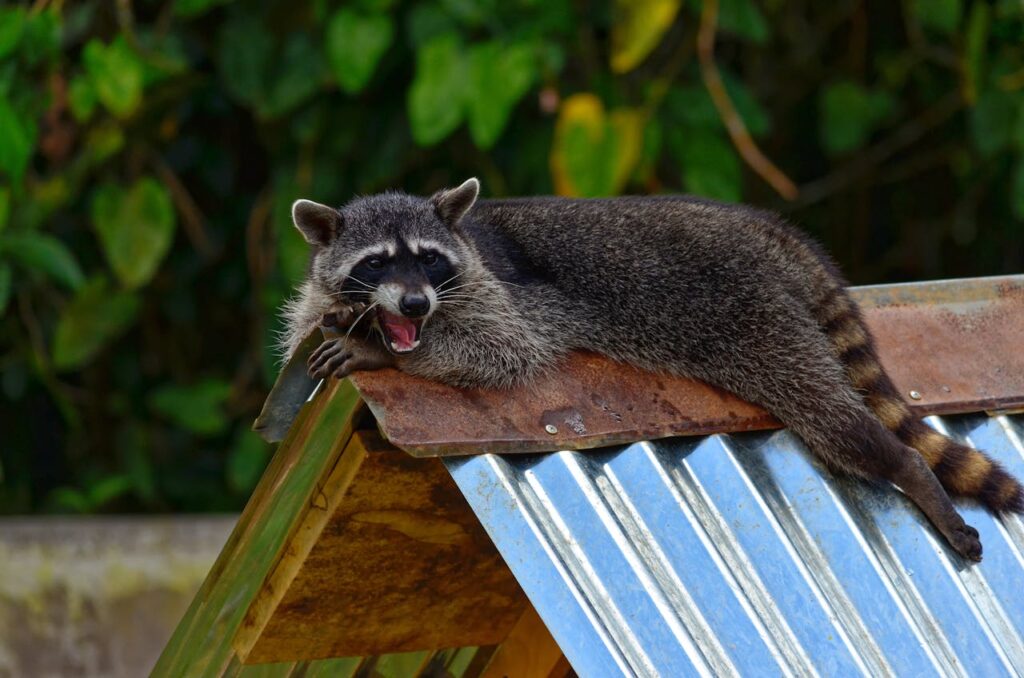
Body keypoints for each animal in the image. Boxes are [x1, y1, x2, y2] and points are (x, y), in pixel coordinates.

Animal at [282, 178, 1024, 561]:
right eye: (377, 262)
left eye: (429, 260)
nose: (413, 304)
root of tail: (764, 230)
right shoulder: (320, 301)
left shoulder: (510, 296)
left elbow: (506, 350)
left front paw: (382, 352)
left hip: (756, 312)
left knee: (835, 418)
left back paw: (907, 468)